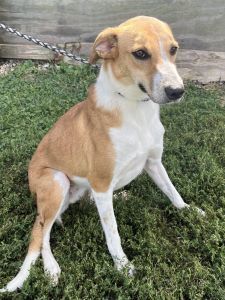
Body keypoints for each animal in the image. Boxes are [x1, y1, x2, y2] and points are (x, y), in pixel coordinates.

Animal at [0, 15, 204, 290]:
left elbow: (172, 190)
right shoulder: (100, 182)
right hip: (57, 182)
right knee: (40, 232)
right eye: (140, 53)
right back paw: (51, 267)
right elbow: (112, 232)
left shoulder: (153, 162)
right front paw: (123, 266)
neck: (135, 108)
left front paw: (187, 209)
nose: (176, 91)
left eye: (173, 49)